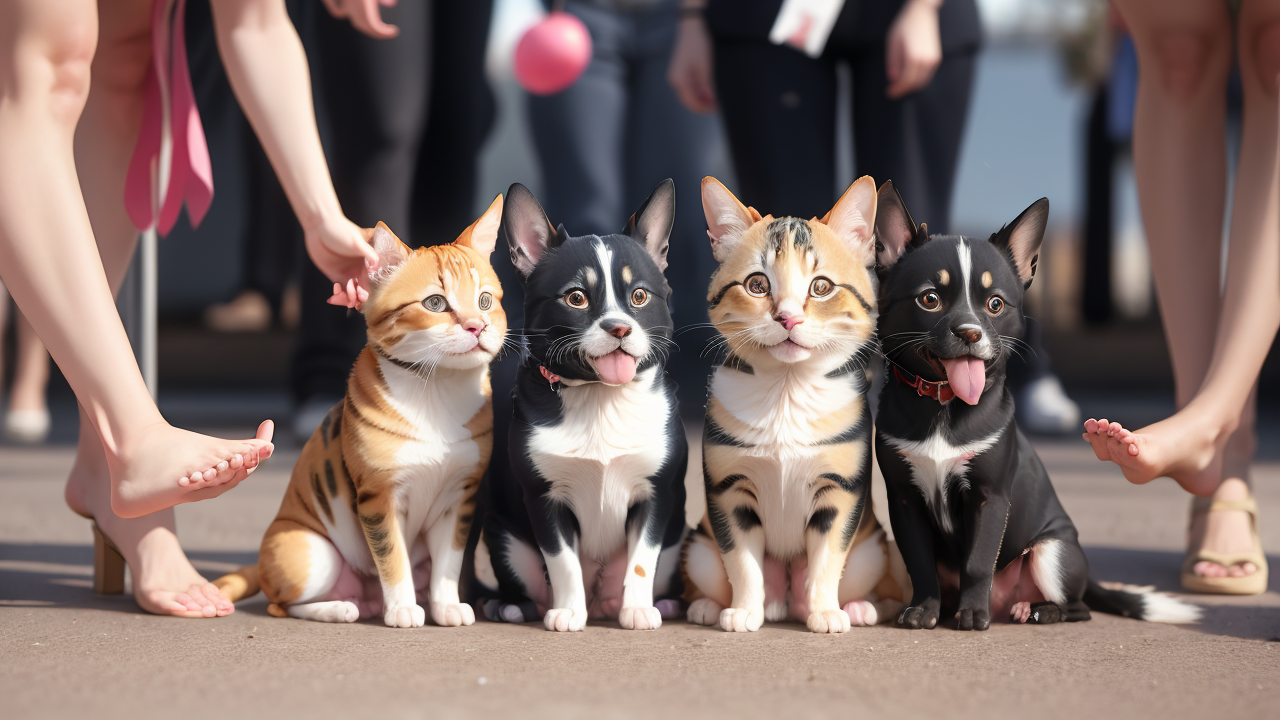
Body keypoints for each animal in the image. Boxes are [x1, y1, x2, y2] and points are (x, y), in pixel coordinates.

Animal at [212, 198, 506, 625]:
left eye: (485, 300)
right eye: (435, 303)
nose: (476, 326)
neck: (436, 388)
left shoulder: (458, 498)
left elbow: (448, 564)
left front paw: (446, 605)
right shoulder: (378, 497)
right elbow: (392, 558)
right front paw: (402, 609)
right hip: (311, 555)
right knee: (281, 604)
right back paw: (339, 608)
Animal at [473, 181, 691, 630]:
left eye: (639, 296)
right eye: (576, 298)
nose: (619, 327)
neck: (600, 395)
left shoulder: (656, 496)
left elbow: (641, 561)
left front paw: (638, 610)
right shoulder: (544, 499)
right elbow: (563, 563)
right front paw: (569, 611)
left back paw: (656, 604)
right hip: (503, 537)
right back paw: (512, 607)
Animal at [680, 176, 911, 630]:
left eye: (821, 287)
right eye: (757, 284)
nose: (787, 318)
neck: (786, 391)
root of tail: (784, 601)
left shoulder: (838, 491)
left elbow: (827, 560)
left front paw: (825, 612)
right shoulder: (730, 492)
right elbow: (741, 562)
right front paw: (743, 611)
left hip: (875, 550)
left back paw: (859, 607)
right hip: (698, 548)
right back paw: (710, 606)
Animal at [870, 180, 1198, 627]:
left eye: (995, 304)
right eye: (930, 299)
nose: (970, 332)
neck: (943, 405)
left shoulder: (990, 498)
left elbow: (977, 560)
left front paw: (973, 614)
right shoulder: (904, 501)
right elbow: (920, 562)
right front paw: (925, 609)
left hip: (1052, 553)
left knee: (1079, 608)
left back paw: (1037, 610)